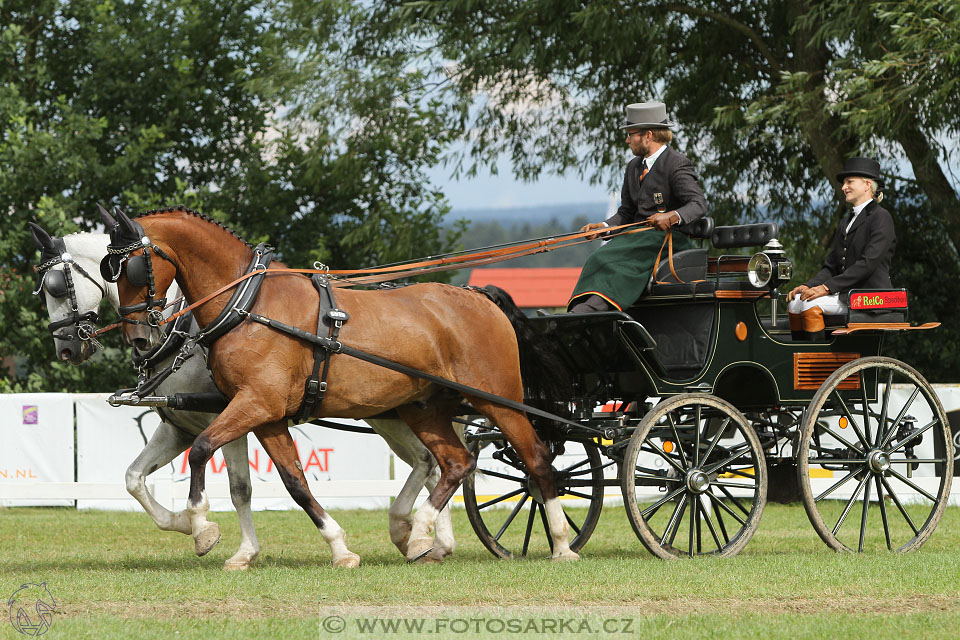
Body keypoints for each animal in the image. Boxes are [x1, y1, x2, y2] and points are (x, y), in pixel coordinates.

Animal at [30, 220, 462, 564]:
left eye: (57, 286)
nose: (66, 348)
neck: (183, 329)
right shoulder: (179, 426)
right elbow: (134, 478)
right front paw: (189, 525)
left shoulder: (229, 413)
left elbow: (239, 488)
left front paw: (211, 533)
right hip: (389, 413)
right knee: (431, 462)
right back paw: (427, 539)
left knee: (434, 462)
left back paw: (426, 536)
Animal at [103, 206, 576, 564]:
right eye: (110, 270)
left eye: (132, 267)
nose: (138, 338)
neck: (248, 304)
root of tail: (479, 297)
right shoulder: (265, 414)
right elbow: (294, 482)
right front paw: (339, 547)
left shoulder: (253, 404)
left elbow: (203, 451)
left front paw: (201, 525)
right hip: (424, 408)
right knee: (454, 464)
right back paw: (420, 536)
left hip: (500, 402)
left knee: (535, 460)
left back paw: (561, 543)